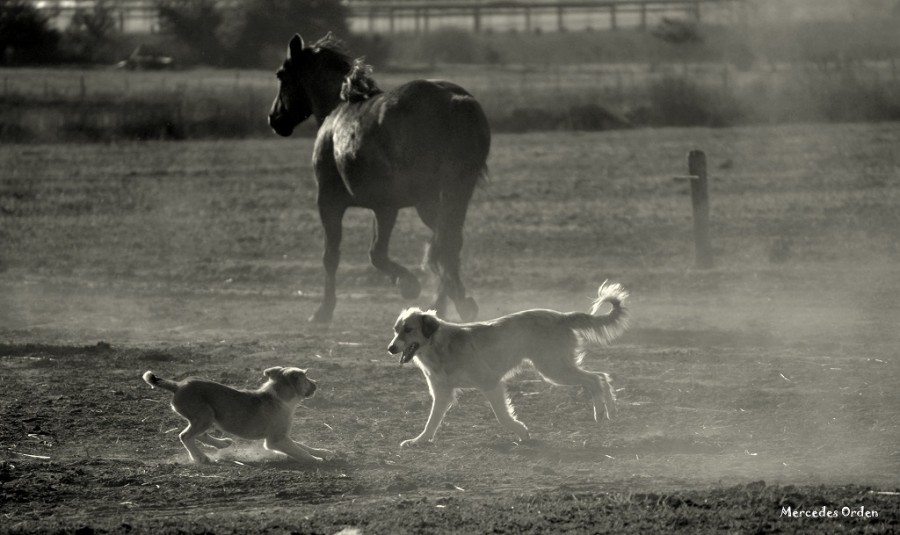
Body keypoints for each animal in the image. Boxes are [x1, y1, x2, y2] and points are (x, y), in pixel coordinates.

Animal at [142, 368, 332, 464]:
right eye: (305, 378)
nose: (316, 383)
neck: (279, 397)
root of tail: (178, 385)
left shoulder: (283, 437)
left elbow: (303, 445)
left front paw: (322, 451)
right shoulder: (275, 440)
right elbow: (300, 450)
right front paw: (315, 459)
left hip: (206, 418)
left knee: (198, 434)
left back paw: (221, 443)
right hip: (205, 416)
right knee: (185, 436)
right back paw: (200, 457)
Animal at [268, 36, 488, 326]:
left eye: (281, 75)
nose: (274, 119)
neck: (340, 106)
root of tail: (455, 100)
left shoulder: (335, 202)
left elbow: (342, 255)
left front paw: (324, 310)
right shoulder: (388, 207)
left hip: (431, 199)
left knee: (443, 245)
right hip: (452, 193)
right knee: (448, 243)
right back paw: (446, 306)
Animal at [384, 282, 624, 446]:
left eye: (408, 330)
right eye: (396, 330)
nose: (390, 348)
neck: (440, 346)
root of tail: (561, 316)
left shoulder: (490, 383)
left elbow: (502, 415)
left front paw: (521, 432)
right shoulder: (442, 393)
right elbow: (431, 421)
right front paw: (420, 441)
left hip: (554, 369)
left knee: (595, 379)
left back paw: (603, 412)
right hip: (557, 367)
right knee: (600, 377)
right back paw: (609, 412)